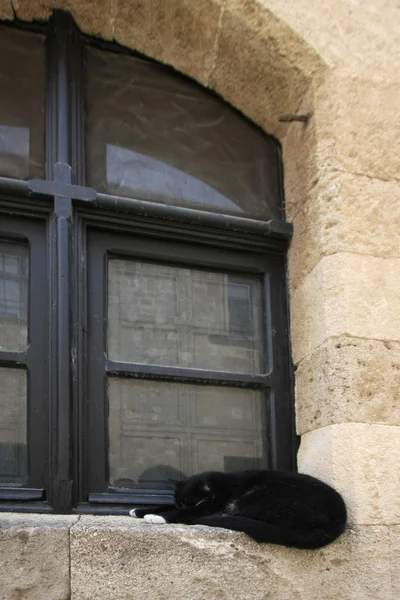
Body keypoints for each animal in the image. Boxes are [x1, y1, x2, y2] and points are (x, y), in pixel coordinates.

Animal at [129, 468, 346, 548]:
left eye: (188, 501)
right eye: (180, 501)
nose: (182, 504)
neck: (219, 488)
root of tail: (339, 520)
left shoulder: (208, 506)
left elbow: (187, 512)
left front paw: (157, 517)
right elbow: (163, 504)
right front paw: (138, 511)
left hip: (265, 498)